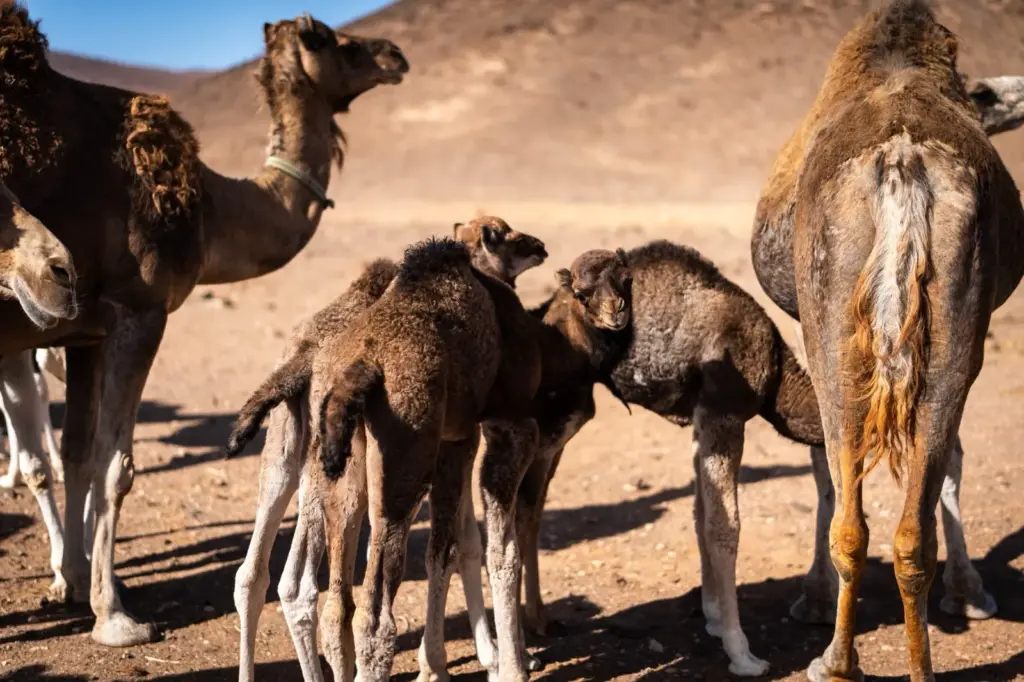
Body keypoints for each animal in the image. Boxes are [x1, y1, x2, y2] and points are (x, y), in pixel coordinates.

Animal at [0, 4, 407, 646]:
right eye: (333, 40)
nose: (395, 54)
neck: (209, 207)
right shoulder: (139, 313)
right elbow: (116, 467)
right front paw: (114, 617)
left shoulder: (82, 328)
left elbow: (79, 454)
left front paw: (73, 581)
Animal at [226, 217, 550, 682]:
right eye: (506, 234)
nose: (538, 245)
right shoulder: (493, 430)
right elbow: (477, 550)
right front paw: (497, 664)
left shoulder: (457, 439)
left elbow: (461, 545)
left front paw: (483, 657)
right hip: (402, 464)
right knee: (368, 613)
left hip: (308, 457)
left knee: (287, 586)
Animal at [751, 2, 1024, 679]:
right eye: (985, 97)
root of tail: (903, 168)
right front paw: (970, 592)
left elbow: (822, 468)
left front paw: (812, 600)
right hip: (954, 327)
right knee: (912, 519)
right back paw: (914, 663)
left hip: (835, 329)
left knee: (853, 514)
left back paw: (836, 660)